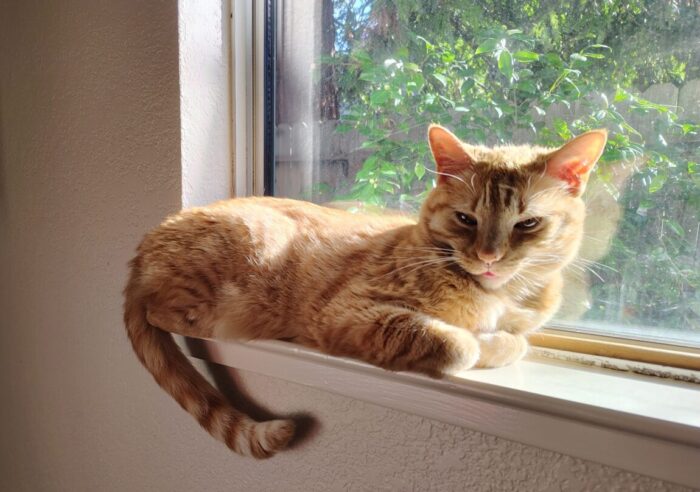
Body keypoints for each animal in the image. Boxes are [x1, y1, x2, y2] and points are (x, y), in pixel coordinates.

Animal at [124, 123, 608, 458]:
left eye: (527, 224)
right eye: (465, 219)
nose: (489, 257)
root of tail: (146, 242)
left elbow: (515, 342)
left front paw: (497, 339)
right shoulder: (350, 313)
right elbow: (460, 346)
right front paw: (478, 342)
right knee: (160, 312)